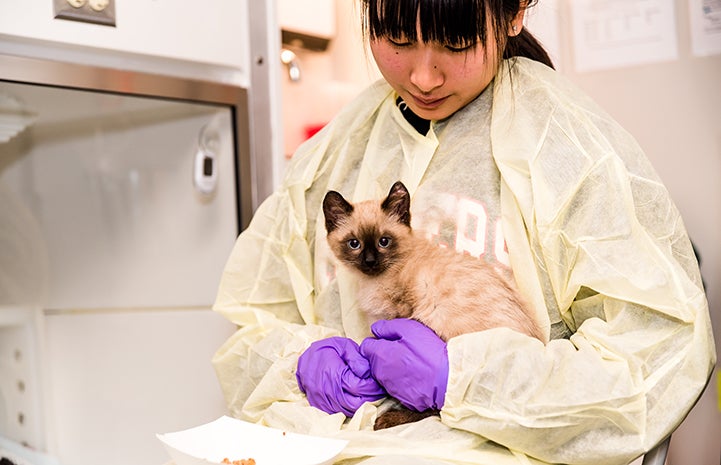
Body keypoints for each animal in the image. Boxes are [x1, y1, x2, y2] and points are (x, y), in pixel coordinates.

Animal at [324, 180, 544, 428]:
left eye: (384, 241)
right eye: (354, 244)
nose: (370, 262)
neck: (374, 280)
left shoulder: (399, 315)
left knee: (441, 406)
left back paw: (388, 418)